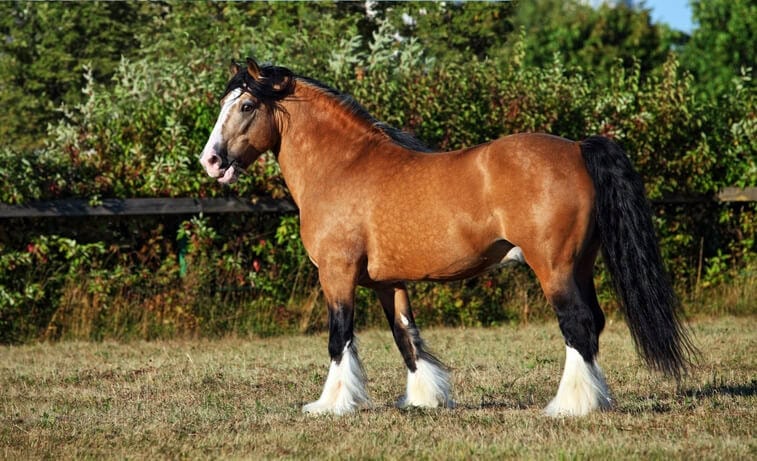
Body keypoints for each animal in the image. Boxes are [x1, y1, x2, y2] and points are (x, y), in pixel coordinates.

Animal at [199, 58, 696, 416]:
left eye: (246, 106)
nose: (210, 161)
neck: (343, 166)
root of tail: (576, 147)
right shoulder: (388, 281)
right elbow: (406, 336)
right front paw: (426, 398)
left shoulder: (337, 275)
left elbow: (339, 338)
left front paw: (330, 405)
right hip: (582, 265)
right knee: (593, 324)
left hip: (554, 266)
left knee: (577, 325)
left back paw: (570, 406)